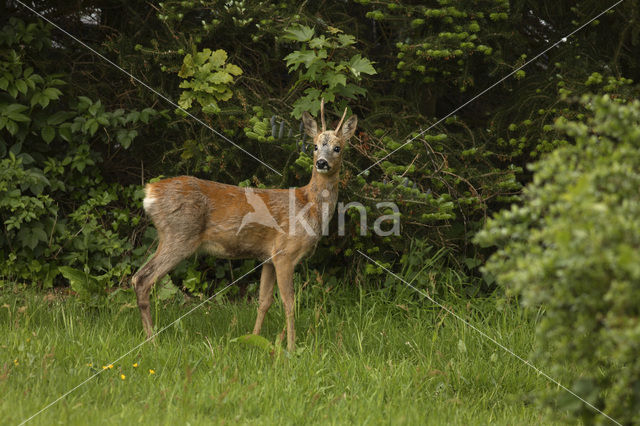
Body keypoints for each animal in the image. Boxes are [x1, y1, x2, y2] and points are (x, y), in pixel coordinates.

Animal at [132, 101, 358, 352]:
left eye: (337, 148)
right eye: (315, 146)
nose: (321, 163)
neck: (308, 206)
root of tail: (150, 193)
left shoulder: (268, 257)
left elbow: (264, 301)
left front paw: (253, 337)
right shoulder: (285, 252)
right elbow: (289, 302)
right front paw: (291, 347)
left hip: (169, 237)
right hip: (180, 235)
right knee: (142, 279)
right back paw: (153, 341)